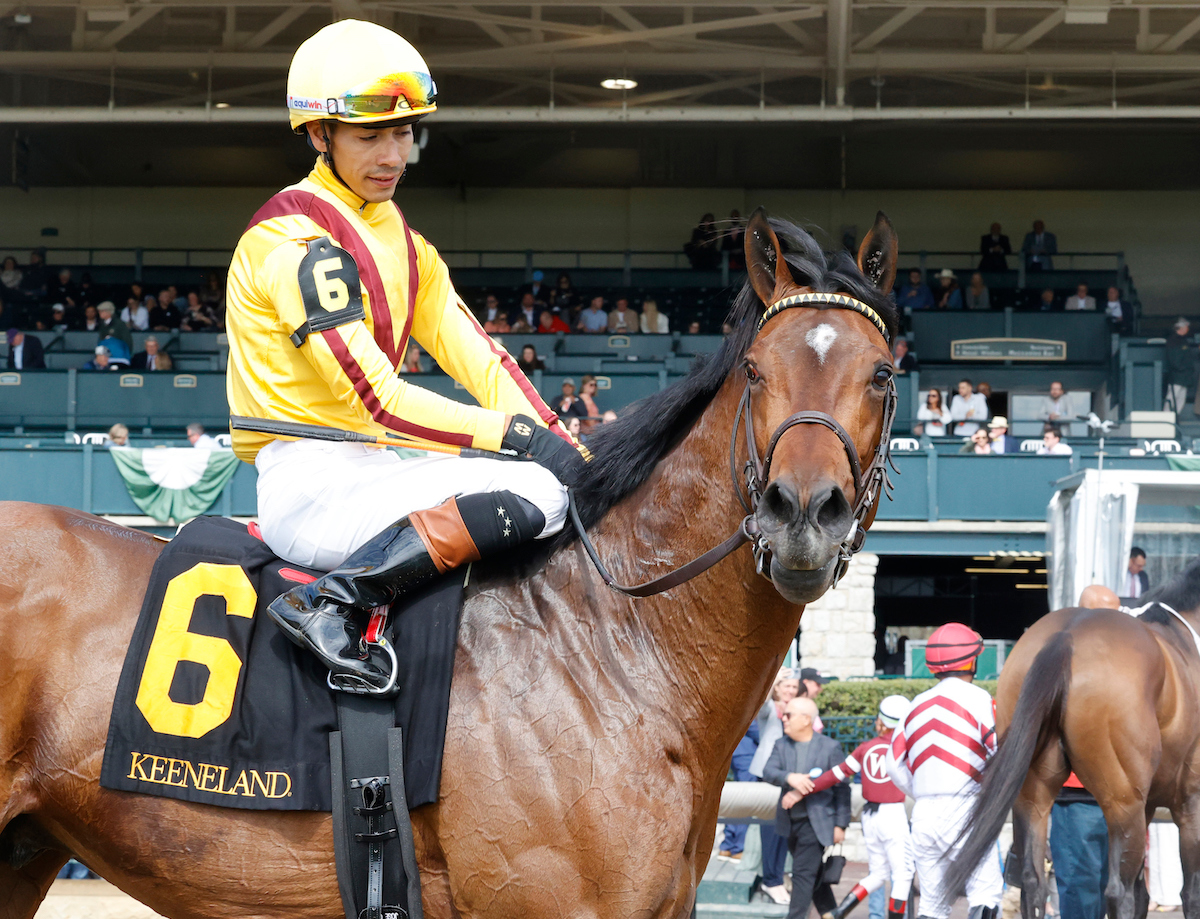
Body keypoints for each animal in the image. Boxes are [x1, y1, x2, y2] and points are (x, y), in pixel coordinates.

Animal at [945, 561, 1200, 919]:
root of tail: (1066, 636)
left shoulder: (1151, 804)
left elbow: (1144, 894)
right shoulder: (1189, 802)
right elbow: (1189, 893)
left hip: (1033, 794)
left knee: (1033, 882)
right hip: (1122, 803)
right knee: (1117, 892)